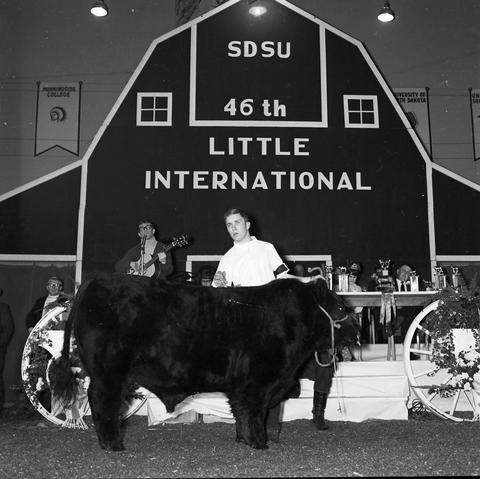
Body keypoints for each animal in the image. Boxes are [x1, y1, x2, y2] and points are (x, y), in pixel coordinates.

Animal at [51, 276, 360, 452]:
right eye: (340, 307)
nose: (357, 330)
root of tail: (92, 284)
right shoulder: (259, 382)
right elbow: (255, 414)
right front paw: (260, 444)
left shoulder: (242, 386)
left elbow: (241, 412)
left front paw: (244, 440)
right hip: (109, 371)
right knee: (103, 402)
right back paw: (113, 445)